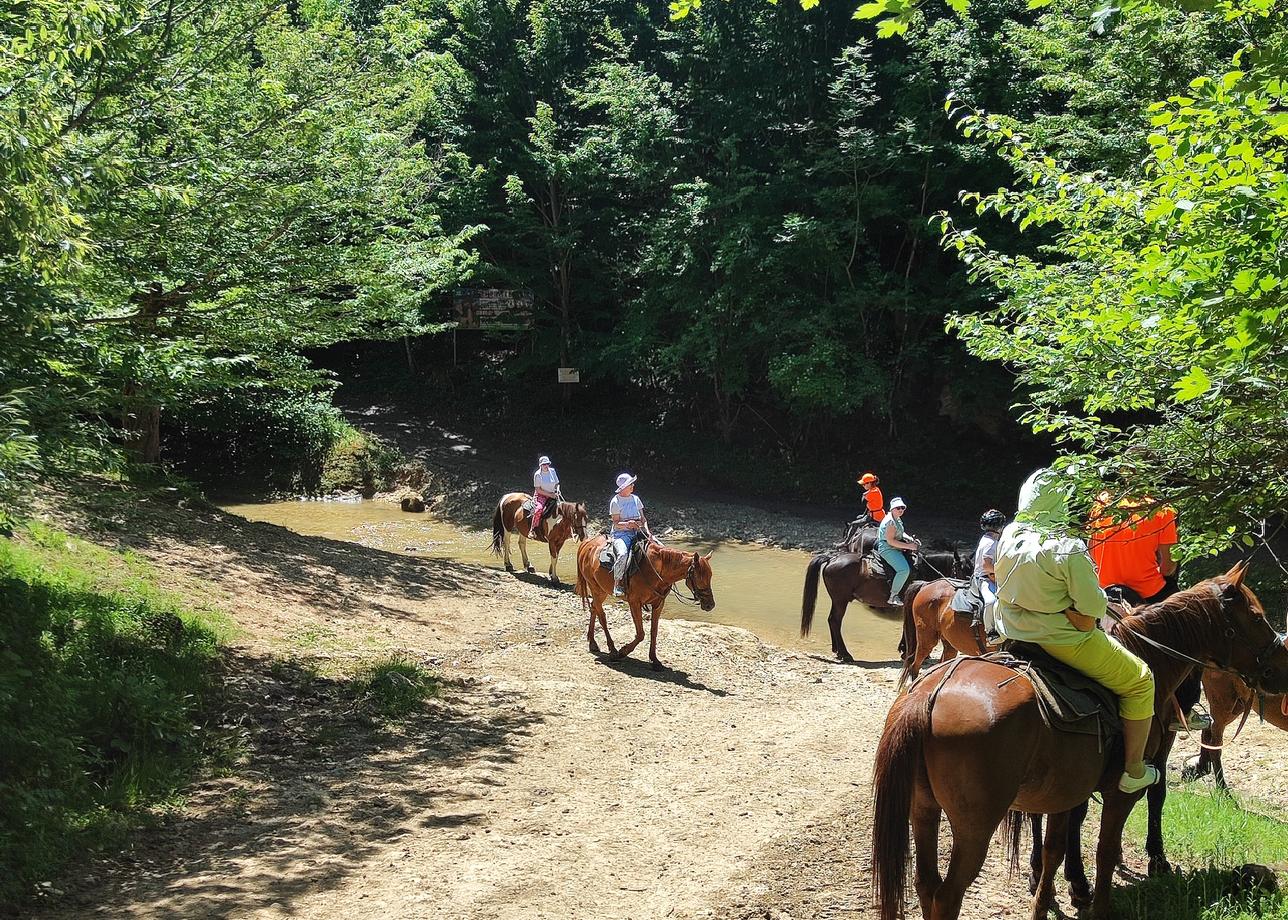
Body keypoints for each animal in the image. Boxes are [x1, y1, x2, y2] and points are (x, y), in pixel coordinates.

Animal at [574, 533, 716, 670]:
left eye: (710, 576)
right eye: (699, 577)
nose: (710, 604)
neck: (657, 569)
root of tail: (587, 543)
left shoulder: (658, 604)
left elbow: (654, 632)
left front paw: (655, 660)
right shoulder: (635, 603)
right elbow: (641, 634)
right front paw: (622, 652)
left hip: (600, 591)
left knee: (594, 608)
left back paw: (592, 643)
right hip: (596, 589)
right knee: (602, 616)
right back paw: (613, 651)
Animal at [798, 543, 968, 659]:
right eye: (962, 569)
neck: (924, 571)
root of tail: (832, 558)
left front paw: (904, 648)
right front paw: (909, 651)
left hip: (837, 600)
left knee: (832, 620)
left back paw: (837, 650)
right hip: (841, 600)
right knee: (835, 621)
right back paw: (845, 654)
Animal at [870, 559, 1288, 917]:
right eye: (1257, 617)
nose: (1279, 670)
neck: (1151, 659)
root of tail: (928, 695)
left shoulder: (1064, 793)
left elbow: (1055, 850)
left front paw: (1048, 901)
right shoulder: (1120, 792)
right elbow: (1105, 847)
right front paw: (1098, 903)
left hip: (924, 809)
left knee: (926, 885)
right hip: (975, 826)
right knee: (946, 895)